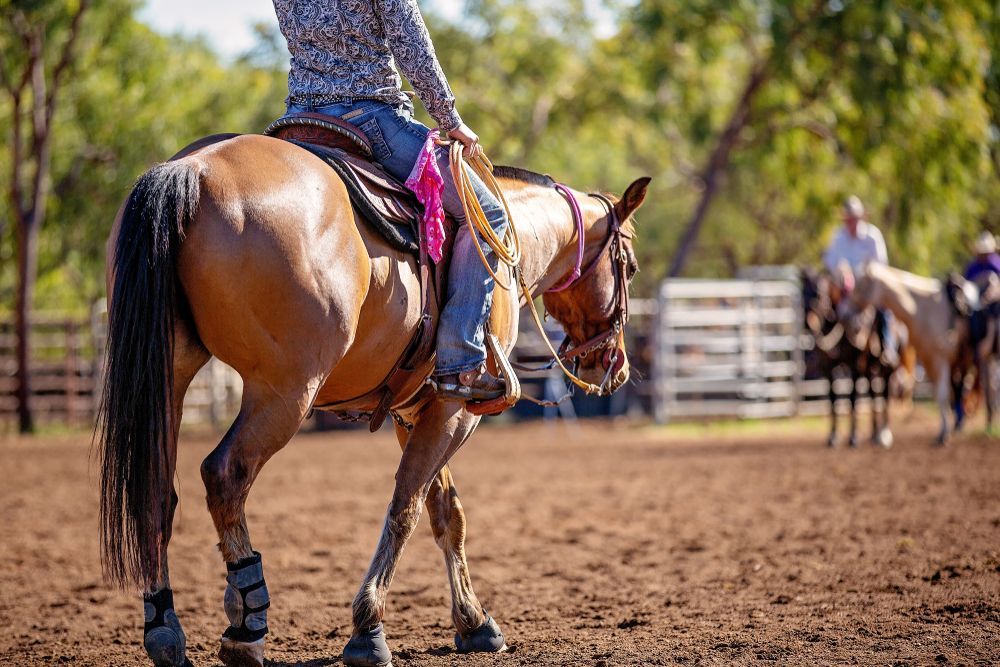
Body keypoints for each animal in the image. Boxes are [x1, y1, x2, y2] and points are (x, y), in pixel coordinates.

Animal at [96, 132, 650, 667]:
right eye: (630, 267)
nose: (613, 364)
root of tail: (191, 171)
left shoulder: (416, 411)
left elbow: (446, 512)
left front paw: (474, 621)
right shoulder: (456, 410)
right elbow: (406, 507)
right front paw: (369, 627)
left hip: (170, 376)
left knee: (155, 491)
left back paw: (165, 630)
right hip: (284, 393)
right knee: (226, 475)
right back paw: (246, 628)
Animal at [800, 268, 898, 448]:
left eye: (818, 294)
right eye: (801, 293)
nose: (808, 324)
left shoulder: (855, 365)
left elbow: (852, 398)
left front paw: (853, 437)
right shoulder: (828, 367)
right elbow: (832, 398)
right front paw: (833, 436)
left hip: (886, 367)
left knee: (885, 394)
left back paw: (884, 433)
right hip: (870, 368)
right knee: (873, 394)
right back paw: (874, 434)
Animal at [845, 263, 969, 445]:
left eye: (862, 285)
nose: (846, 315)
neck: (924, 310)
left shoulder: (940, 359)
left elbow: (941, 393)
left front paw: (944, 435)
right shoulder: (928, 359)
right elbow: (940, 394)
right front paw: (942, 432)